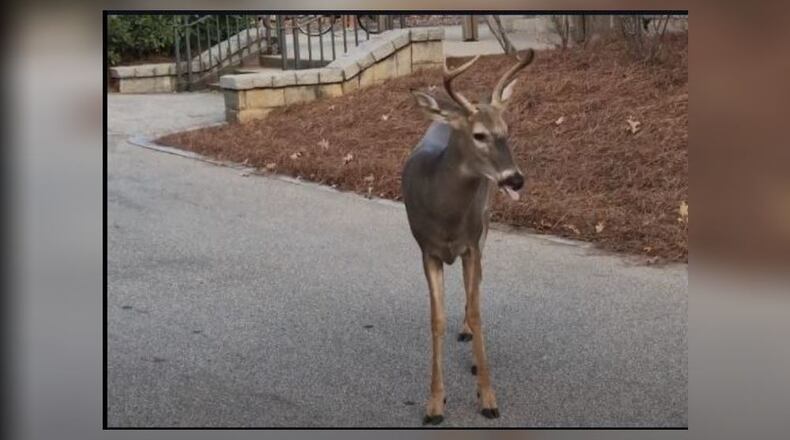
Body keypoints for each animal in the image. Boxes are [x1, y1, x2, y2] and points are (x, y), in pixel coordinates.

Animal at [401, 49, 534, 425]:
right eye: (479, 135)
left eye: (506, 131)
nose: (515, 179)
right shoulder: (426, 250)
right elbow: (436, 319)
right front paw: (434, 403)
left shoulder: (471, 244)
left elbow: (476, 310)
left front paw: (488, 397)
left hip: (485, 224)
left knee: (476, 285)